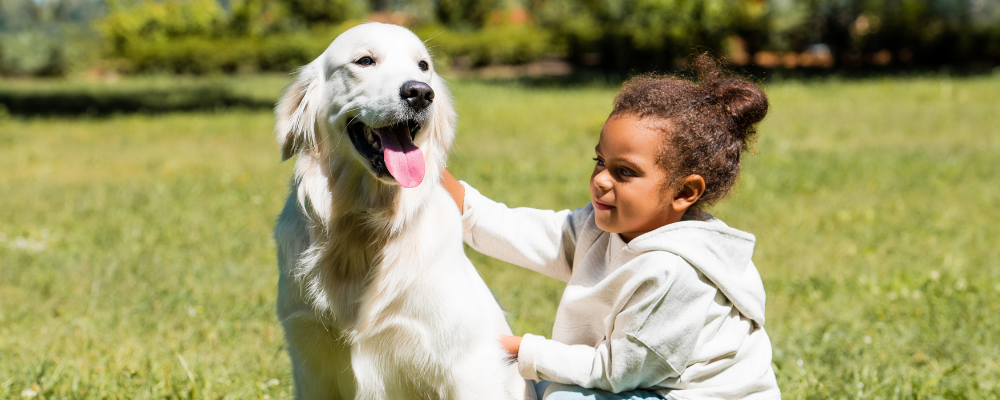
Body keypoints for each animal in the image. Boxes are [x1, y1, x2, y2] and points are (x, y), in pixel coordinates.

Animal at [270, 23, 528, 400]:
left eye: (423, 66)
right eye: (365, 60)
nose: (419, 93)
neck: (364, 227)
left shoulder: (467, 365)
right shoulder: (311, 363)